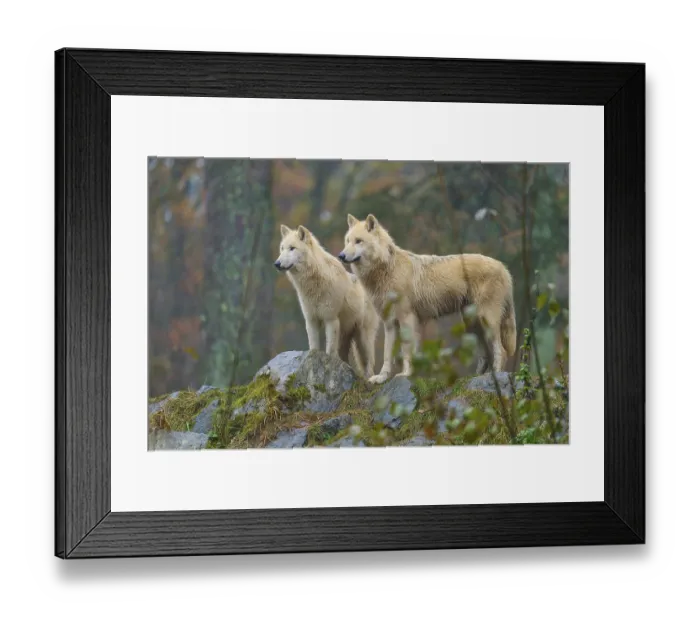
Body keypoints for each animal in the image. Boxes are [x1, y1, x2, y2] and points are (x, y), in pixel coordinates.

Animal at [275, 224, 379, 377]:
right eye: (282, 248)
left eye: (292, 248)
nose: (276, 263)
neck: (314, 284)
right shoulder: (311, 320)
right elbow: (313, 348)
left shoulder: (331, 319)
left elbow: (329, 351)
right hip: (345, 337)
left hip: (363, 339)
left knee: (369, 365)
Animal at [339, 214, 517, 384]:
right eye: (347, 241)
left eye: (358, 241)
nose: (341, 255)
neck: (386, 268)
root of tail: (503, 267)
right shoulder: (389, 324)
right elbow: (387, 355)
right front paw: (382, 378)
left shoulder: (407, 319)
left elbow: (406, 350)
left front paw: (405, 374)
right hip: (472, 325)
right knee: (485, 355)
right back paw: (476, 377)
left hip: (486, 321)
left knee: (501, 350)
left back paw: (496, 375)